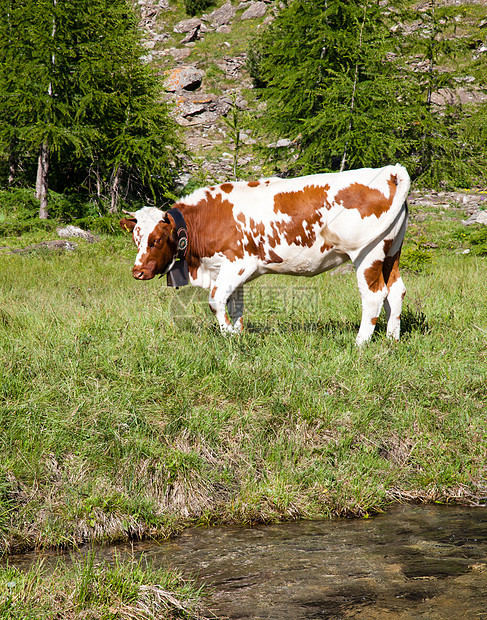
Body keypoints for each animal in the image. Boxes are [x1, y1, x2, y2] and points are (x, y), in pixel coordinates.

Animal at [121, 165, 412, 346]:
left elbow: (216, 300)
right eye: (136, 238)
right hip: (391, 251)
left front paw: (228, 336)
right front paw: (238, 333)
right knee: (395, 290)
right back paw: (392, 339)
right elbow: (235, 305)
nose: (137, 271)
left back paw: (360, 342)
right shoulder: (228, 271)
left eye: (156, 240)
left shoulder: (238, 263)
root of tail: (389, 171)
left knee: (374, 295)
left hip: (367, 253)